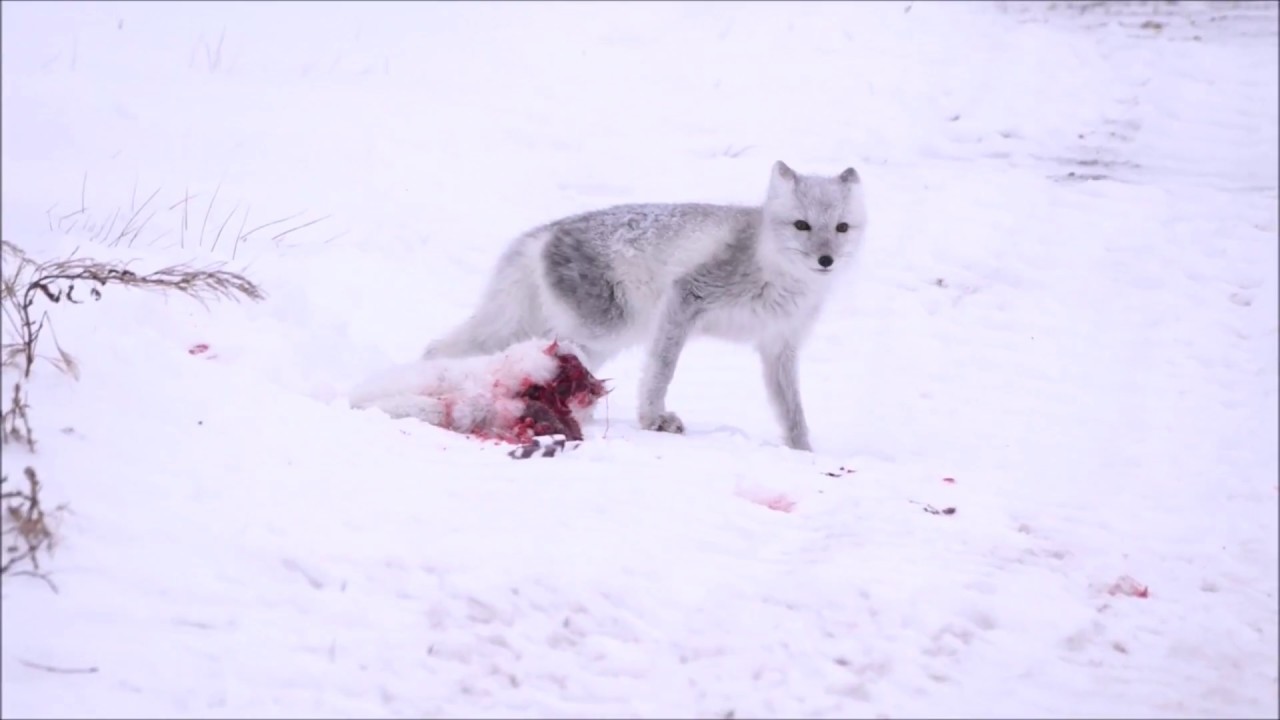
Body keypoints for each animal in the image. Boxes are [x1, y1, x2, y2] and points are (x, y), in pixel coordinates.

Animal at [422, 161, 870, 448]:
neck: (772, 268)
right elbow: (661, 370)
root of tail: (543, 235)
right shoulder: (687, 295)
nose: (825, 260)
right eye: (802, 225)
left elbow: (791, 409)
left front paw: (802, 452)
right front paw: (653, 418)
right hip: (604, 329)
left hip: (592, 336)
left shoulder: (779, 345)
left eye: (841, 228)